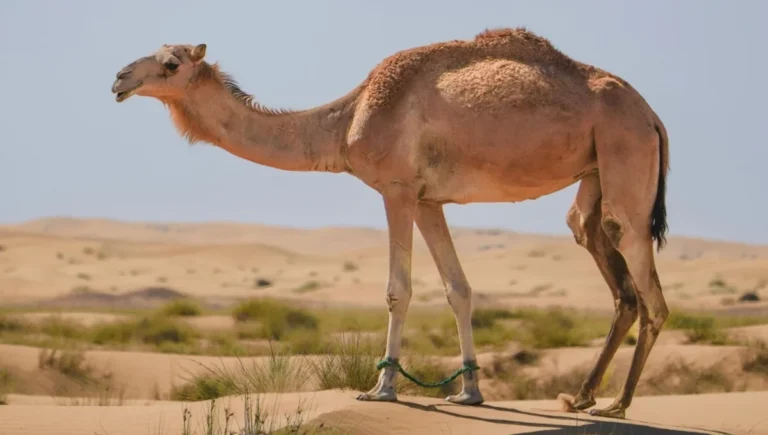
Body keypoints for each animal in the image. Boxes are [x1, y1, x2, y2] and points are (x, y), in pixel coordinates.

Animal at [111, 27, 670, 419]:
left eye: (171, 63)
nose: (119, 79)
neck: (345, 122)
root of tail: (652, 113)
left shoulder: (397, 189)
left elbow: (398, 289)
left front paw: (381, 388)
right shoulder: (428, 199)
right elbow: (458, 289)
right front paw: (468, 391)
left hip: (624, 146)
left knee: (641, 270)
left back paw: (618, 404)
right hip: (595, 172)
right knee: (598, 245)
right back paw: (582, 398)